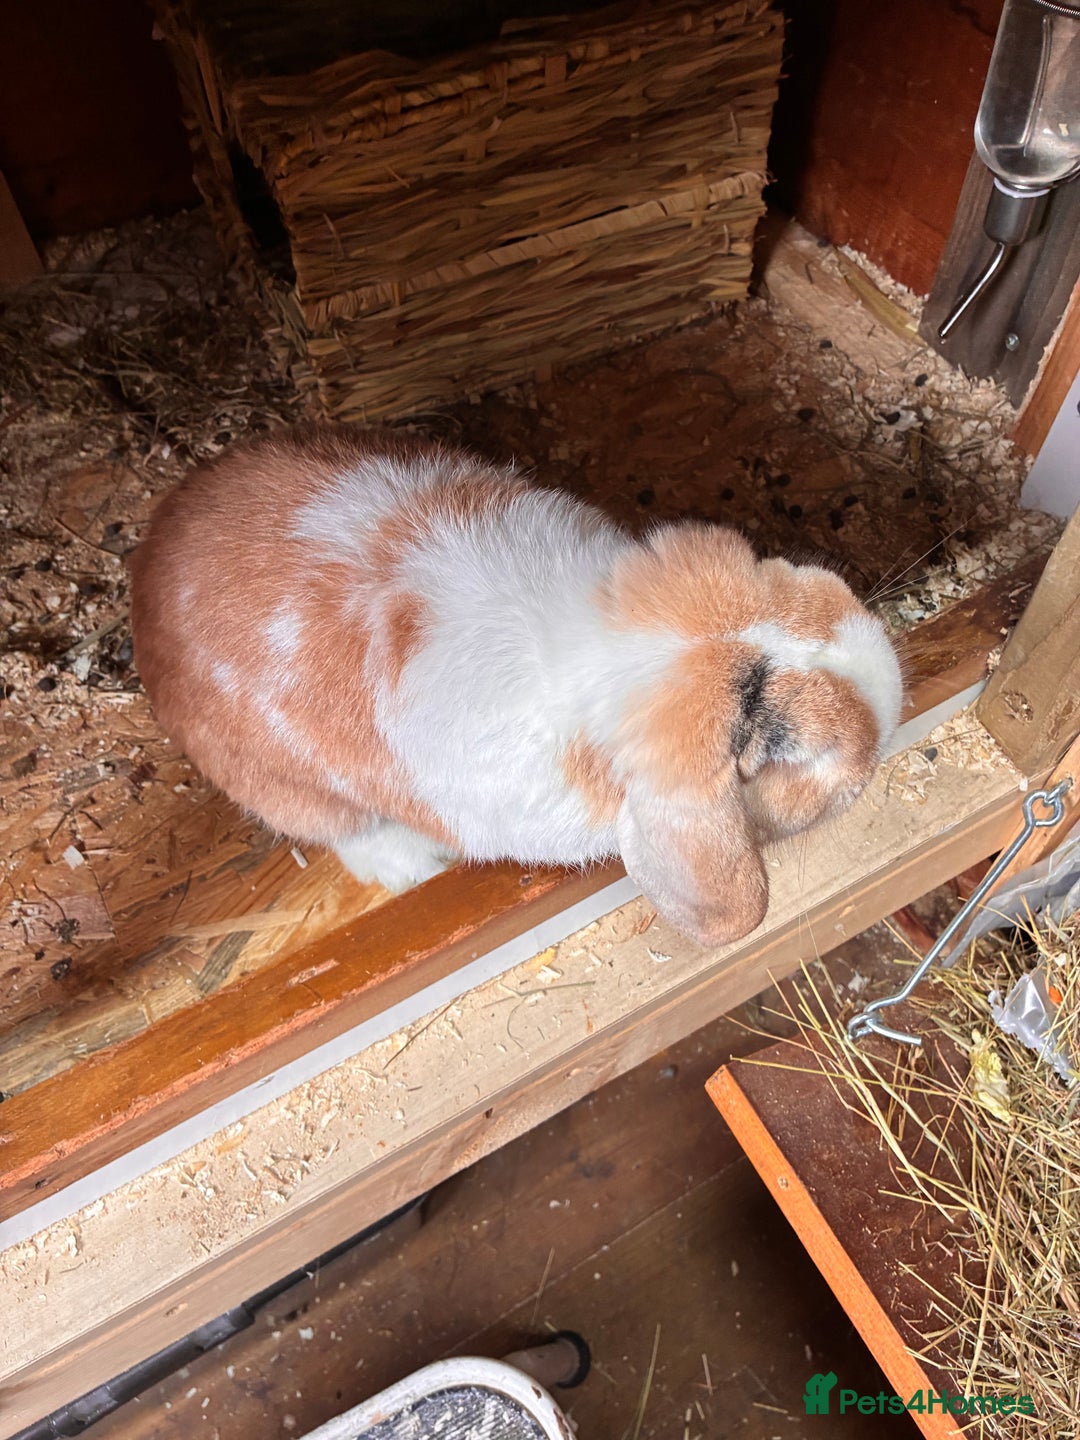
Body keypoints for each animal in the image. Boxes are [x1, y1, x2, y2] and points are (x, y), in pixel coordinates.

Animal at [130, 424, 903, 947]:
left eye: (784, 577)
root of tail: (147, 575)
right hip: (286, 786)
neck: (634, 657)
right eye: (781, 756)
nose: (891, 680)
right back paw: (410, 866)